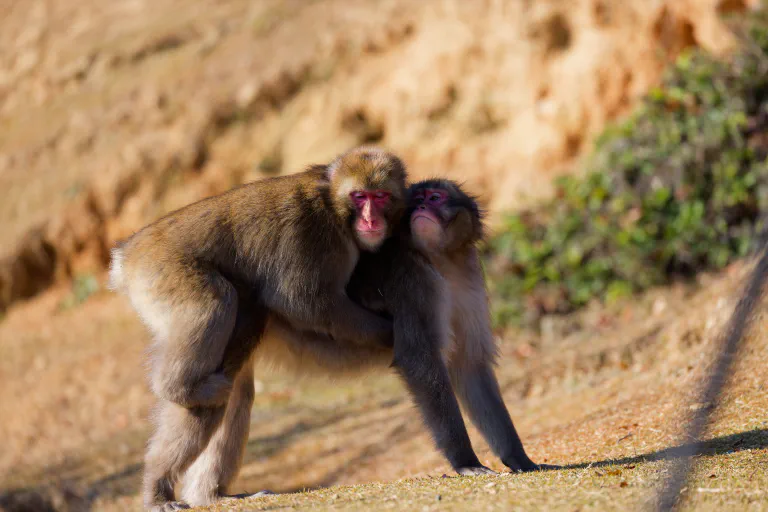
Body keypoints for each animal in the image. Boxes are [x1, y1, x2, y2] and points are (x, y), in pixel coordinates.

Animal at [109, 146, 408, 510]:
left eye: (380, 196)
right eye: (359, 196)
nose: (370, 219)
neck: (334, 206)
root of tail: (127, 254)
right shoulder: (313, 236)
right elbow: (303, 301)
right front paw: (389, 330)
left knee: (238, 387)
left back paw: (211, 493)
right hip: (162, 271)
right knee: (216, 301)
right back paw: (174, 409)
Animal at [178, 178, 544, 506]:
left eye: (435, 197)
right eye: (417, 199)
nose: (421, 207)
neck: (440, 261)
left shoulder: (468, 279)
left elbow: (471, 368)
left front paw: (519, 458)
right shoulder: (414, 283)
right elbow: (421, 362)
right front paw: (465, 461)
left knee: (235, 393)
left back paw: (209, 495)